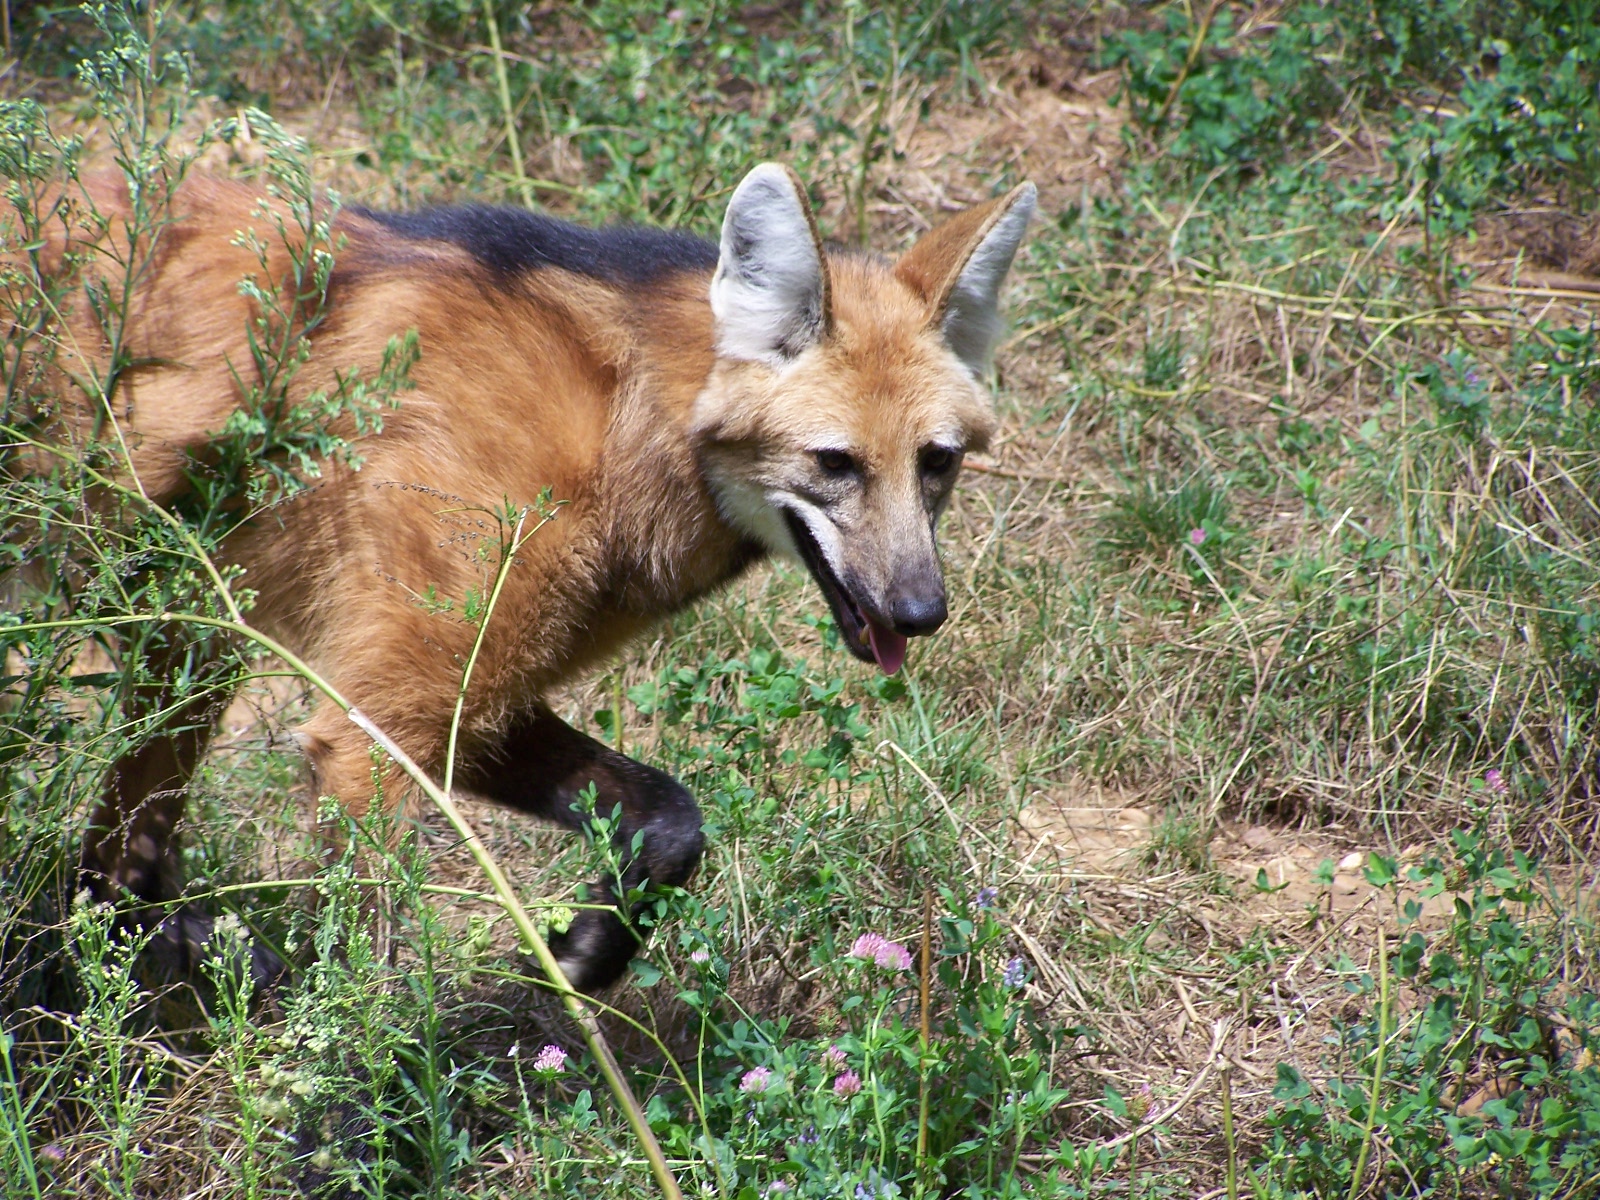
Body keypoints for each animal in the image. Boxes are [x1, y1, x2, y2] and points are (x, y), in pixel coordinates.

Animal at [32, 163, 1035, 991]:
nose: (922, 610)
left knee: (109, 860)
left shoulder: (475, 702)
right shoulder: (372, 733)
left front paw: (584, 952)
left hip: (189, 633)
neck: (622, 424)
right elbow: (364, 997)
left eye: (937, 463)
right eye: (835, 464)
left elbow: (674, 816)